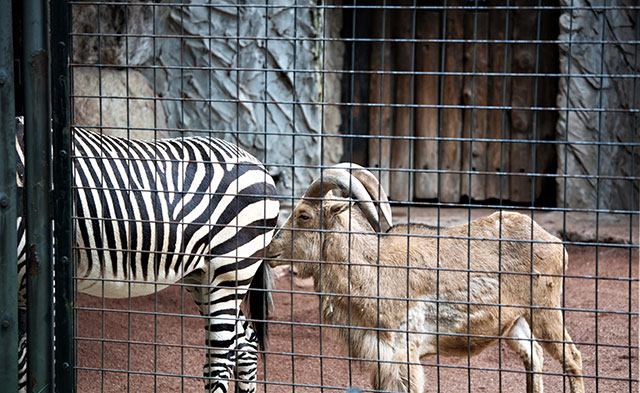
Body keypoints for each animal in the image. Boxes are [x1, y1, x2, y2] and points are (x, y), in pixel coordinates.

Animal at [14, 117, 280, 392]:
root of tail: (256, 162)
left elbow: (23, 367)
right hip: (202, 276)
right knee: (246, 344)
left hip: (231, 268)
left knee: (219, 362)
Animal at [266, 163, 584, 392]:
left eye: (304, 215)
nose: (270, 250)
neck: (372, 270)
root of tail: (554, 242)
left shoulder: (404, 353)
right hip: (514, 321)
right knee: (534, 356)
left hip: (545, 310)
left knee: (572, 358)